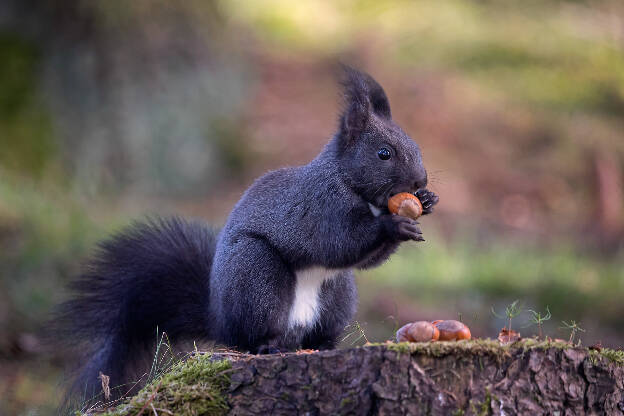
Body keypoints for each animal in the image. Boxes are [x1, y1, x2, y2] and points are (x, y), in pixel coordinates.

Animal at [56, 66, 442, 402]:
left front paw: (427, 201)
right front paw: (393, 224)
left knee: (318, 331)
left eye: (417, 147)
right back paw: (267, 345)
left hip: (338, 296)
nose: (420, 181)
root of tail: (219, 318)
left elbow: (364, 259)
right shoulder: (319, 207)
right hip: (257, 277)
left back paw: (326, 346)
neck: (353, 186)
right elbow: (339, 242)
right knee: (251, 337)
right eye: (383, 153)